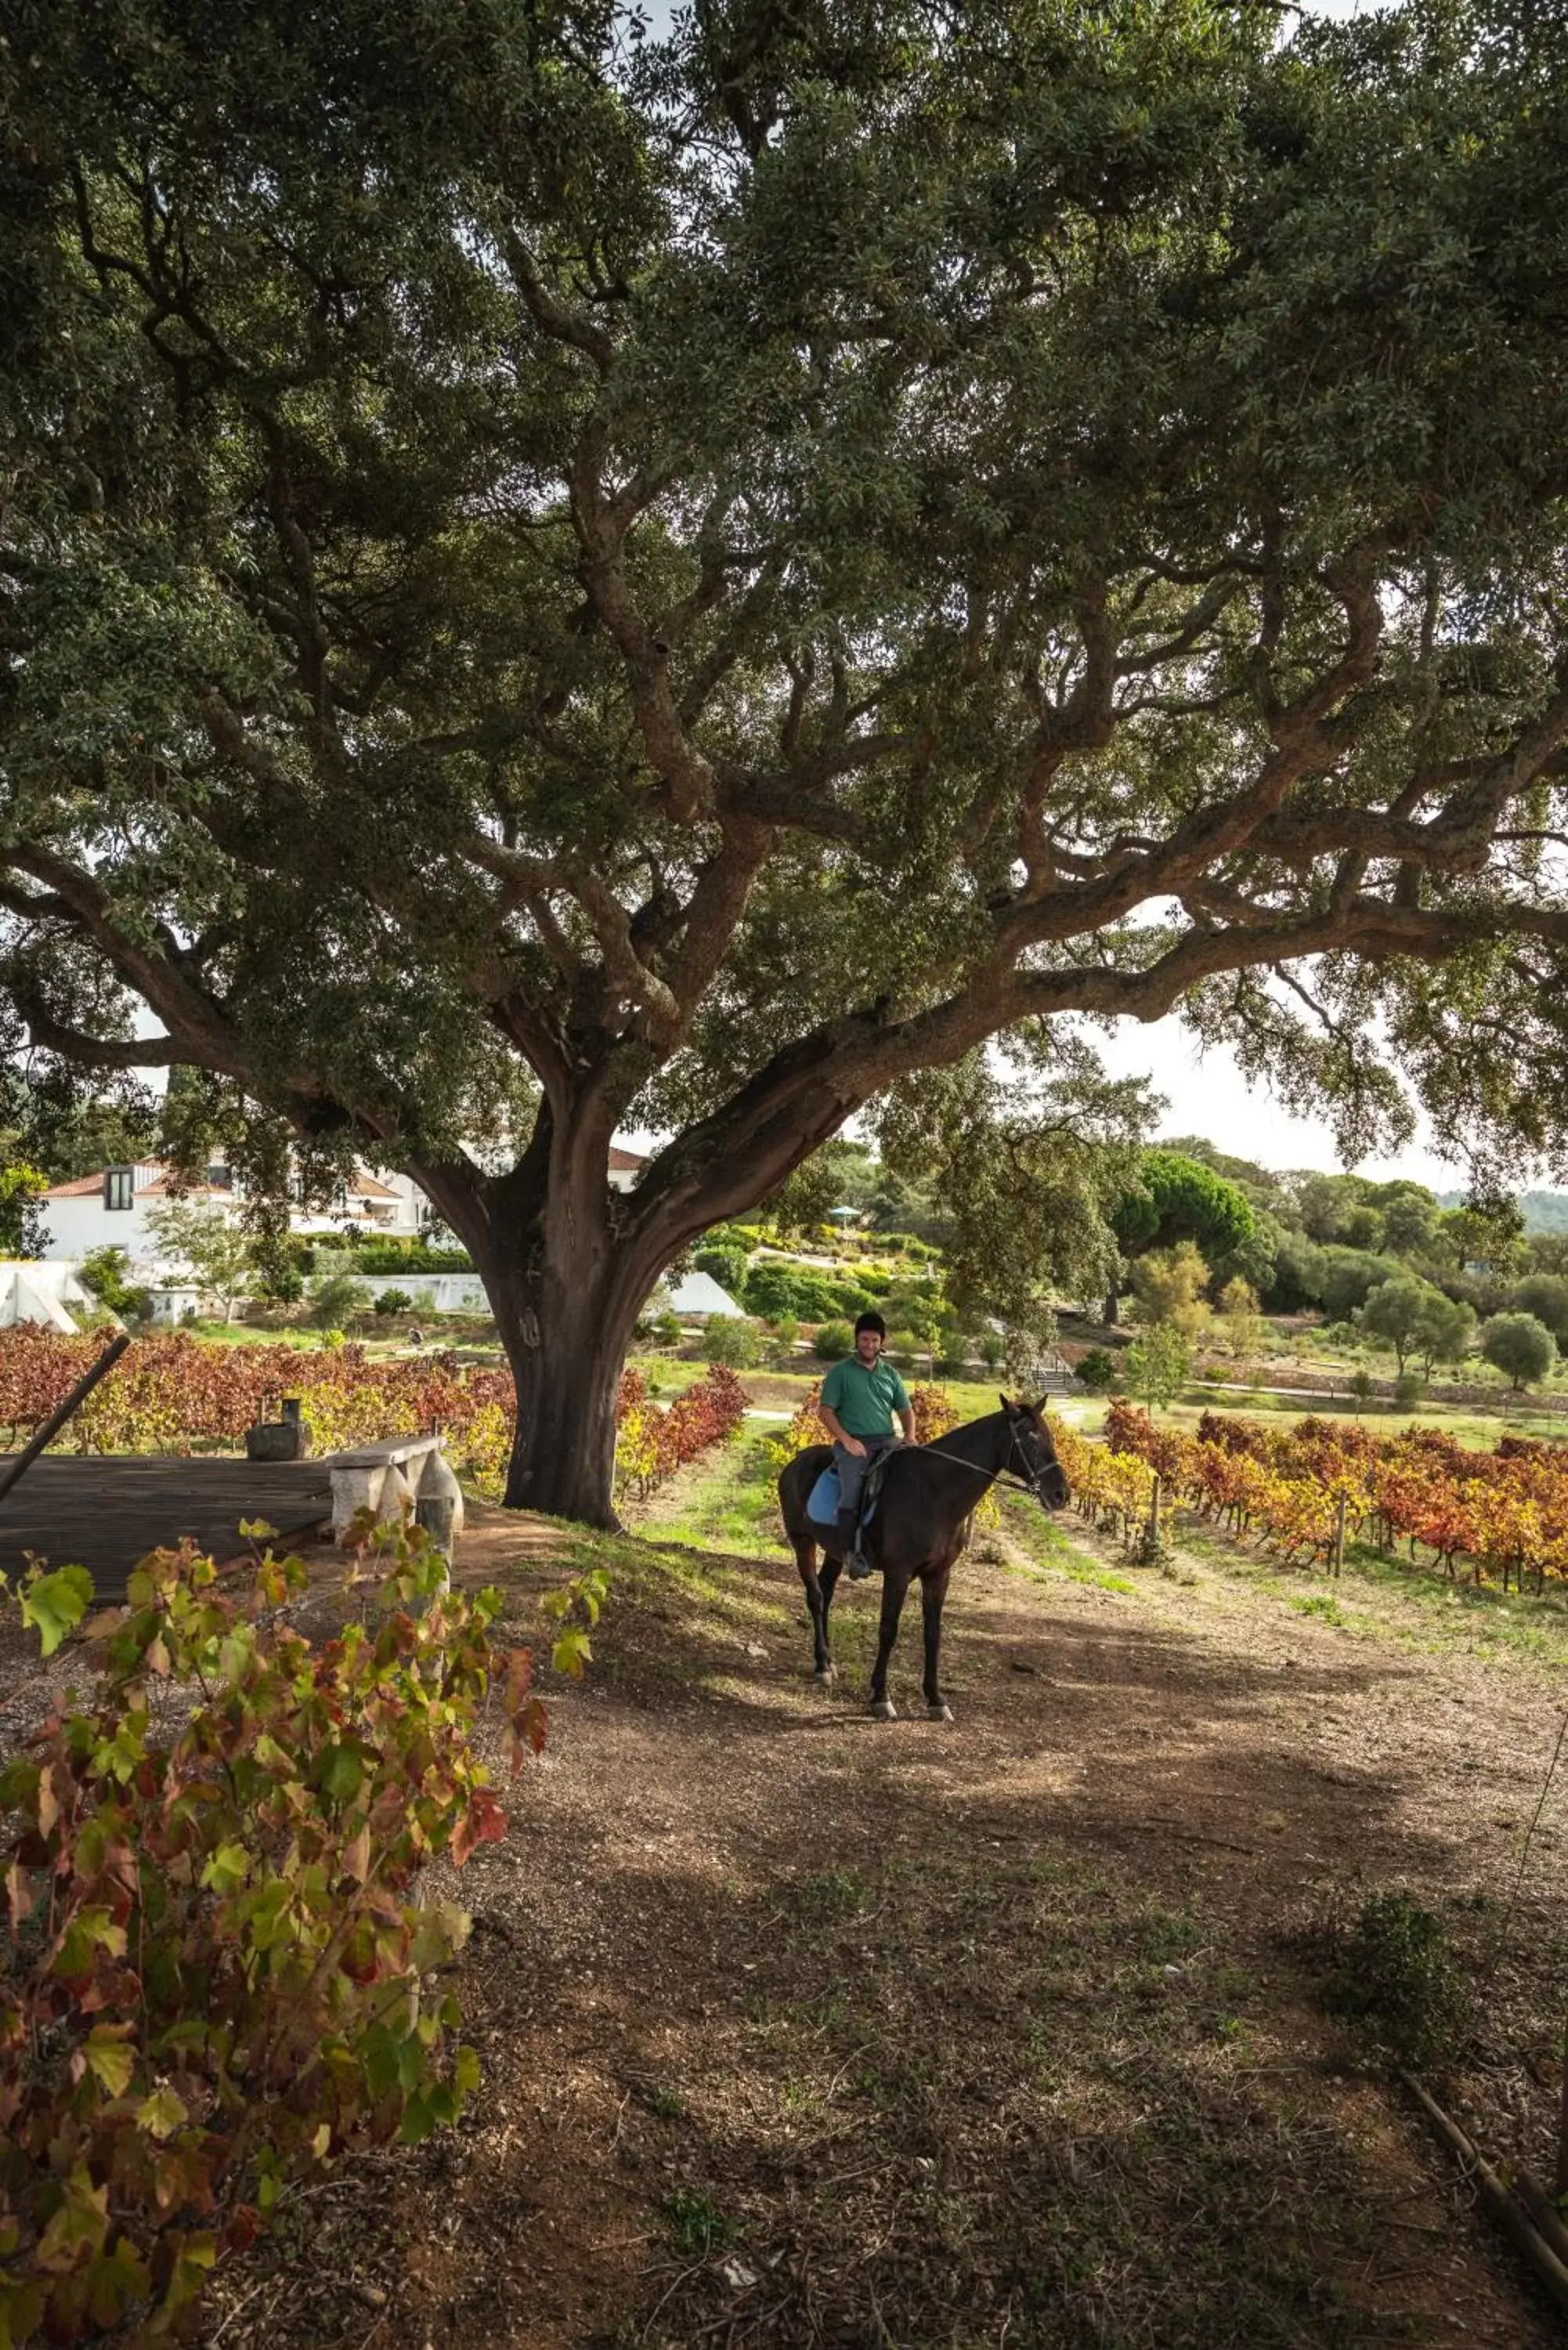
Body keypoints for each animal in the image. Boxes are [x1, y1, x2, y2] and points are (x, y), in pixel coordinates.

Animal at [780, 1391, 1071, 1730]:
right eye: (1030, 1439)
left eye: (1050, 1436)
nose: (1061, 1494)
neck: (934, 1492)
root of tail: (796, 1462)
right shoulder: (898, 1573)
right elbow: (888, 1630)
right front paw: (881, 1697)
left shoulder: (938, 1575)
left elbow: (933, 1634)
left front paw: (936, 1700)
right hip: (802, 1542)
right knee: (815, 1597)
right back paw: (822, 1667)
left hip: (835, 1551)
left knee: (826, 1592)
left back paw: (827, 1661)